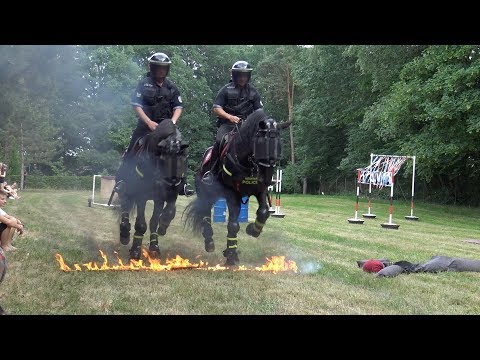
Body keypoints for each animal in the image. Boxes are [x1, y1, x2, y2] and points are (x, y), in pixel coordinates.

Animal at [114, 119, 188, 260]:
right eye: (164, 158)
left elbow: (162, 217)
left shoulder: (163, 198)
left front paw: (156, 243)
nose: (173, 184)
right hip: (126, 190)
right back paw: (125, 233)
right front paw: (135, 252)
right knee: (125, 207)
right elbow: (141, 224)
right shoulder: (141, 197)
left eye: (184, 158)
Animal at [183, 109, 288, 264]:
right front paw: (231, 256)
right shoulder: (232, 194)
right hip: (206, 195)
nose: (267, 177)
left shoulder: (260, 190)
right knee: (205, 216)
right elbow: (233, 225)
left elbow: (263, 211)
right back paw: (209, 242)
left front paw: (253, 230)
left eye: (278, 144)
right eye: (261, 142)